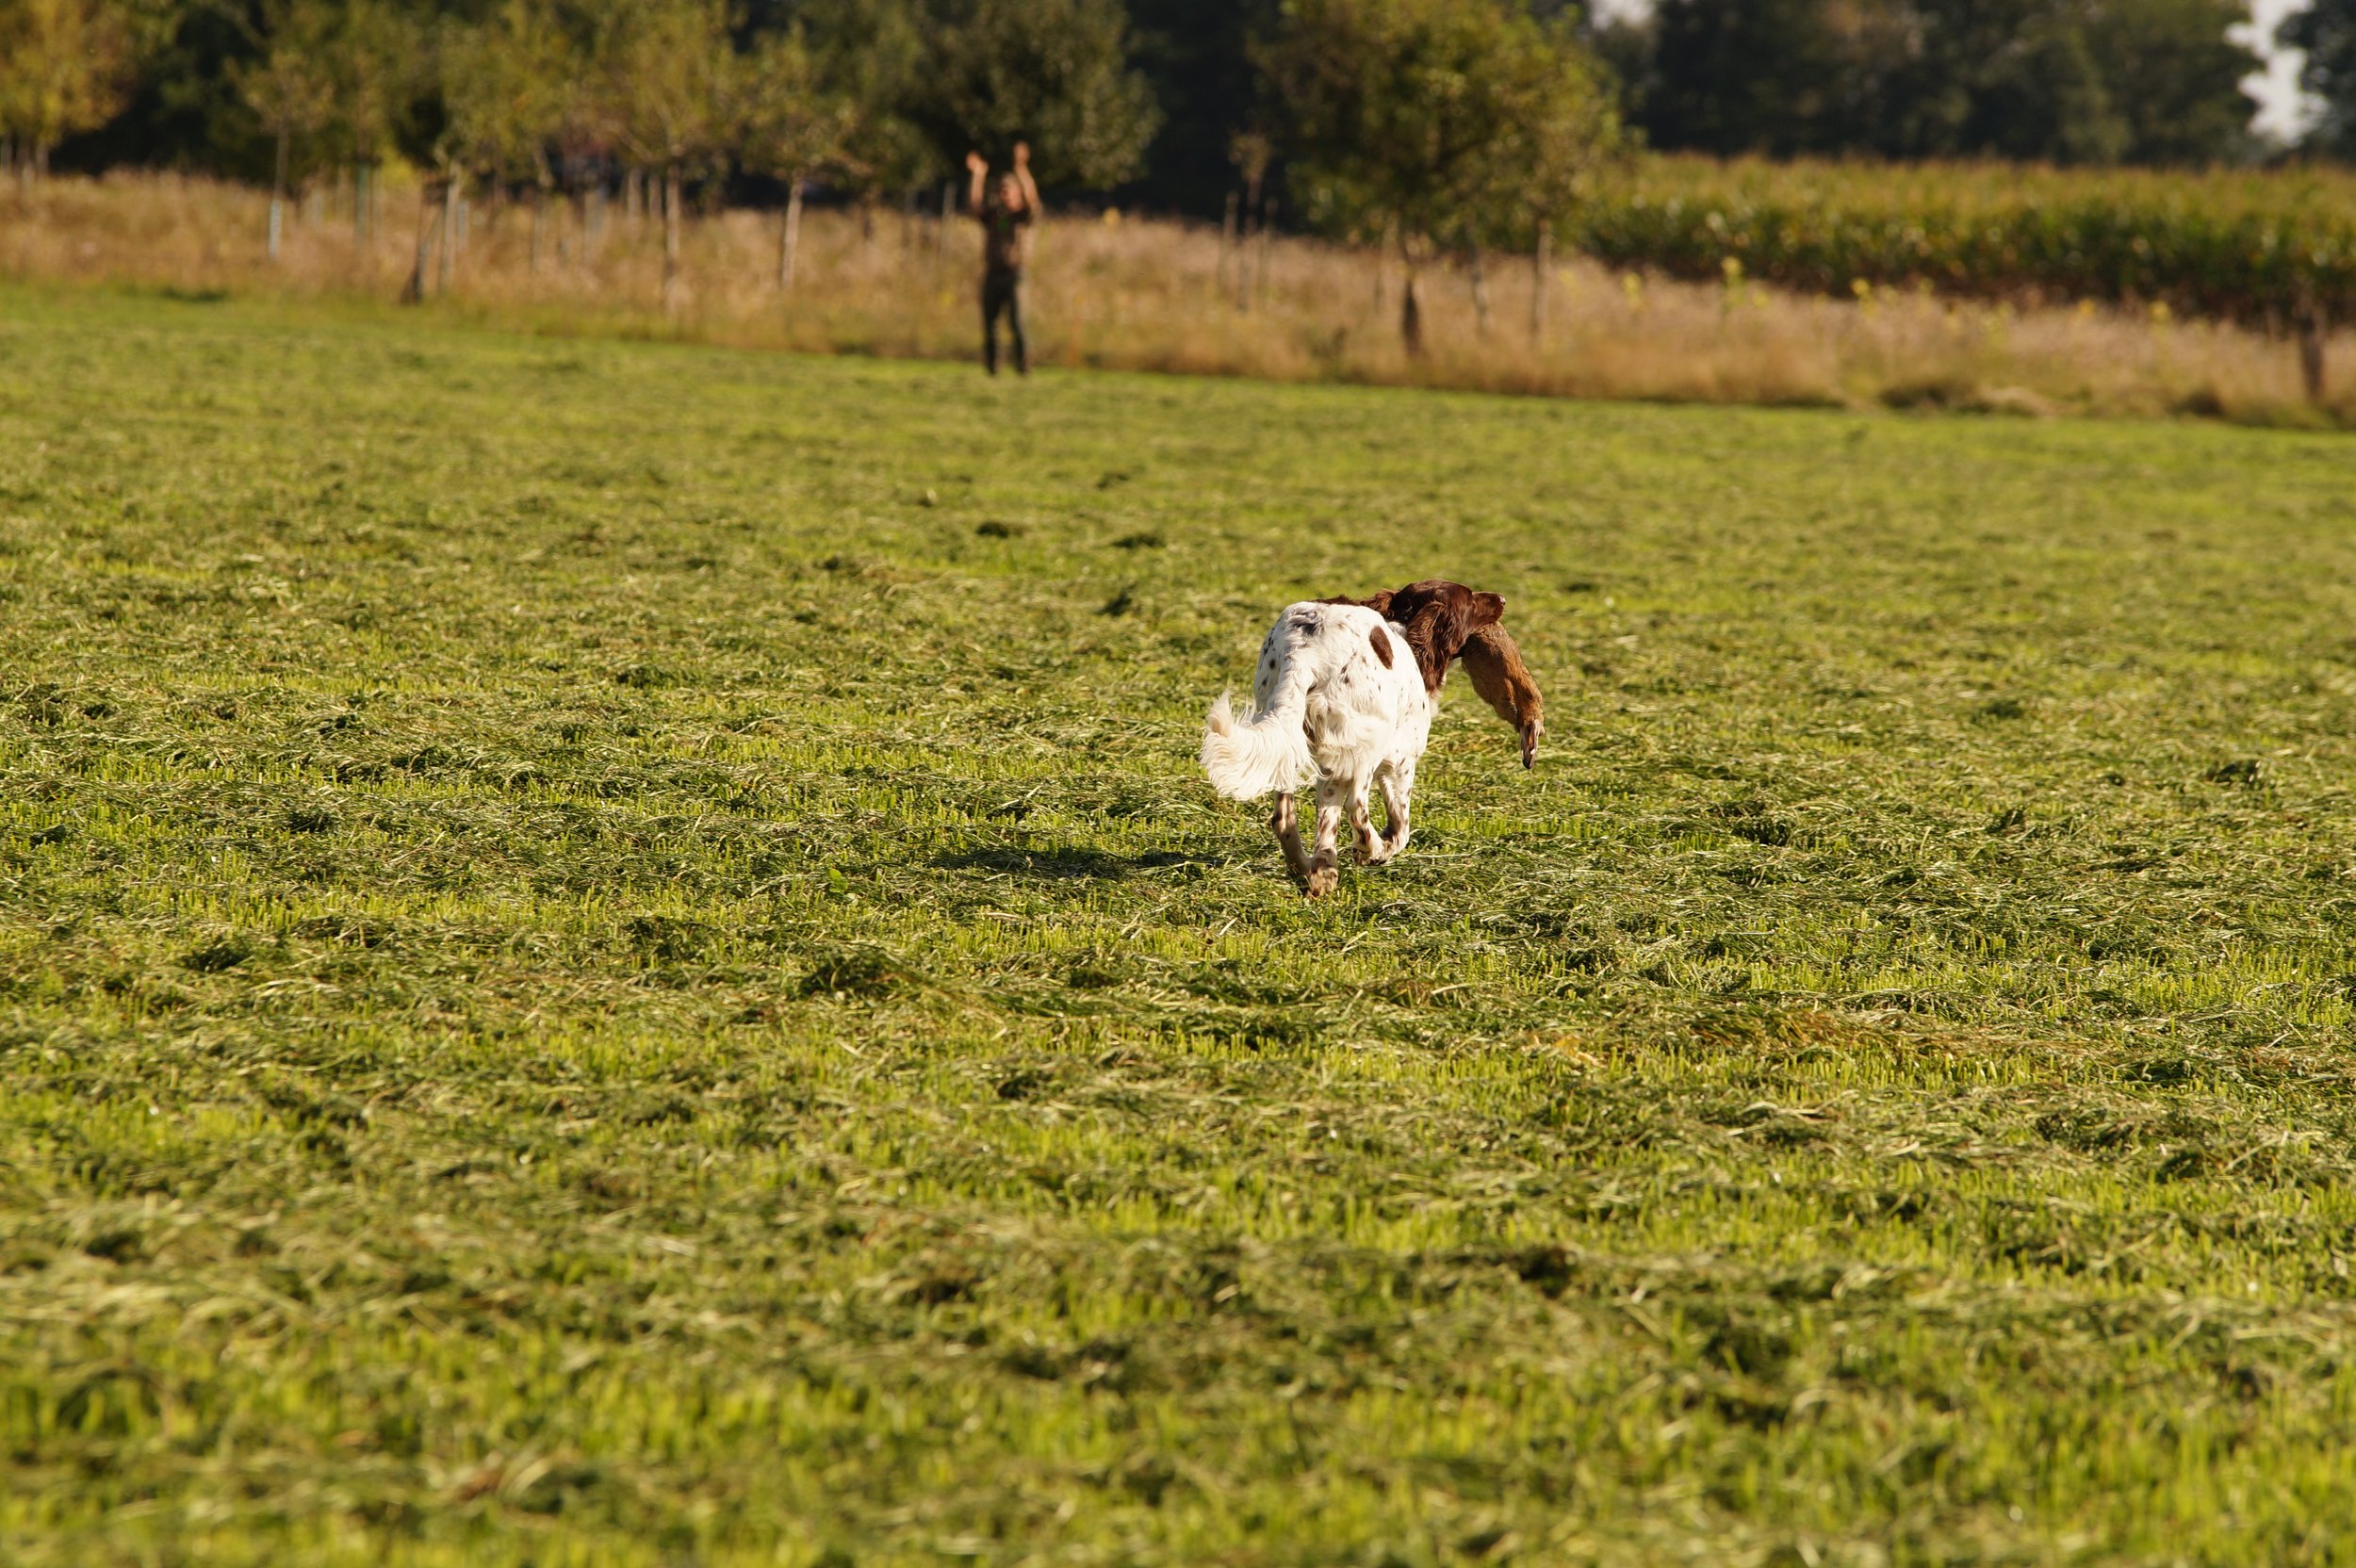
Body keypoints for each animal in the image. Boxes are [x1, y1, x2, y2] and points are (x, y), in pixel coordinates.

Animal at [1200, 580, 1544, 896]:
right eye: (1470, 599)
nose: (1502, 598)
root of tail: (1303, 652)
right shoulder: (1401, 762)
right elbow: (1401, 828)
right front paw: (1377, 851)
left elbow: (1327, 822)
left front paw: (1323, 873)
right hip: (1370, 742)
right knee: (1356, 803)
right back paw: (1370, 849)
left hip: (1297, 732)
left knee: (1284, 817)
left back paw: (1307, 869)